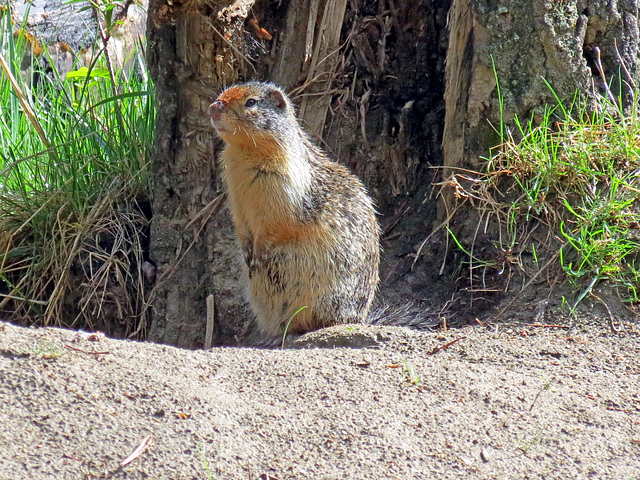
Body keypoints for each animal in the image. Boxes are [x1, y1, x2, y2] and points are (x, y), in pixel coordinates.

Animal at [210, 81, 380, 338]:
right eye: (222, 93)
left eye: (251, 102)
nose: (213, 108)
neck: (245, 152)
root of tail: (358, 318)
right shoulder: (235, 196)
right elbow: (241, 224)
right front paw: (248, 253)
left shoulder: (283, 190)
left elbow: (275, 225)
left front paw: (259, 254)